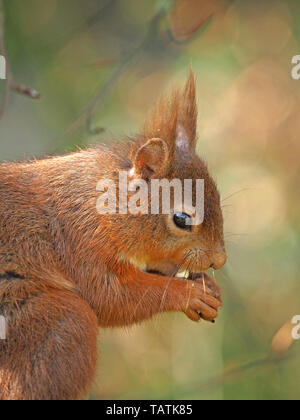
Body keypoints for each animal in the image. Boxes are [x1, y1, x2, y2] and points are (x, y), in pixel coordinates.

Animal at [0, 69, 225, 400]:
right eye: (182, 219)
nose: (219, 260)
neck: (102, 203)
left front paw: (209, 285)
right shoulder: (80, 240)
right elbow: (112, 298)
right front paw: (189, 294)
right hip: (53, 322)